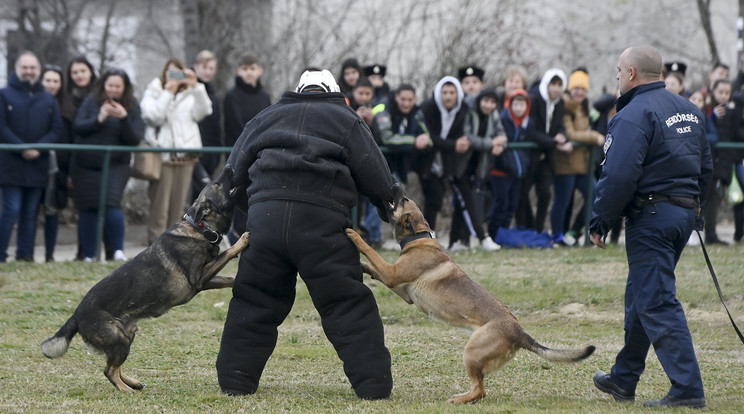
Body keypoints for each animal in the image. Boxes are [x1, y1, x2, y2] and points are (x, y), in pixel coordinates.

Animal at [41, 168, 250, 392]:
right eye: (217, 184)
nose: (228, 167)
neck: (199, 228)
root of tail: (76, 316)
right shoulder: (199, 279)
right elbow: (226, 253)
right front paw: (241, 241)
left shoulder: (205, 281)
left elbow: (229, 277)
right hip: (119, 340)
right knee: (109, 371)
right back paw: (125, 390)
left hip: (127, 336)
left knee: (113, 366)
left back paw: (132, 383)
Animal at [346, 184, 596, 404]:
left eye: (403, 200)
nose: (396, 184)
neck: (418, 237)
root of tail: (520, 333)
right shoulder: (401, 288)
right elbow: (373, 268)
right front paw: (363, 267)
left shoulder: (392, 274)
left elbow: (372, 252)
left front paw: (355, 236)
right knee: (480, 389)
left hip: (472, 353)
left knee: (480, 390)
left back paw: (459, 400)